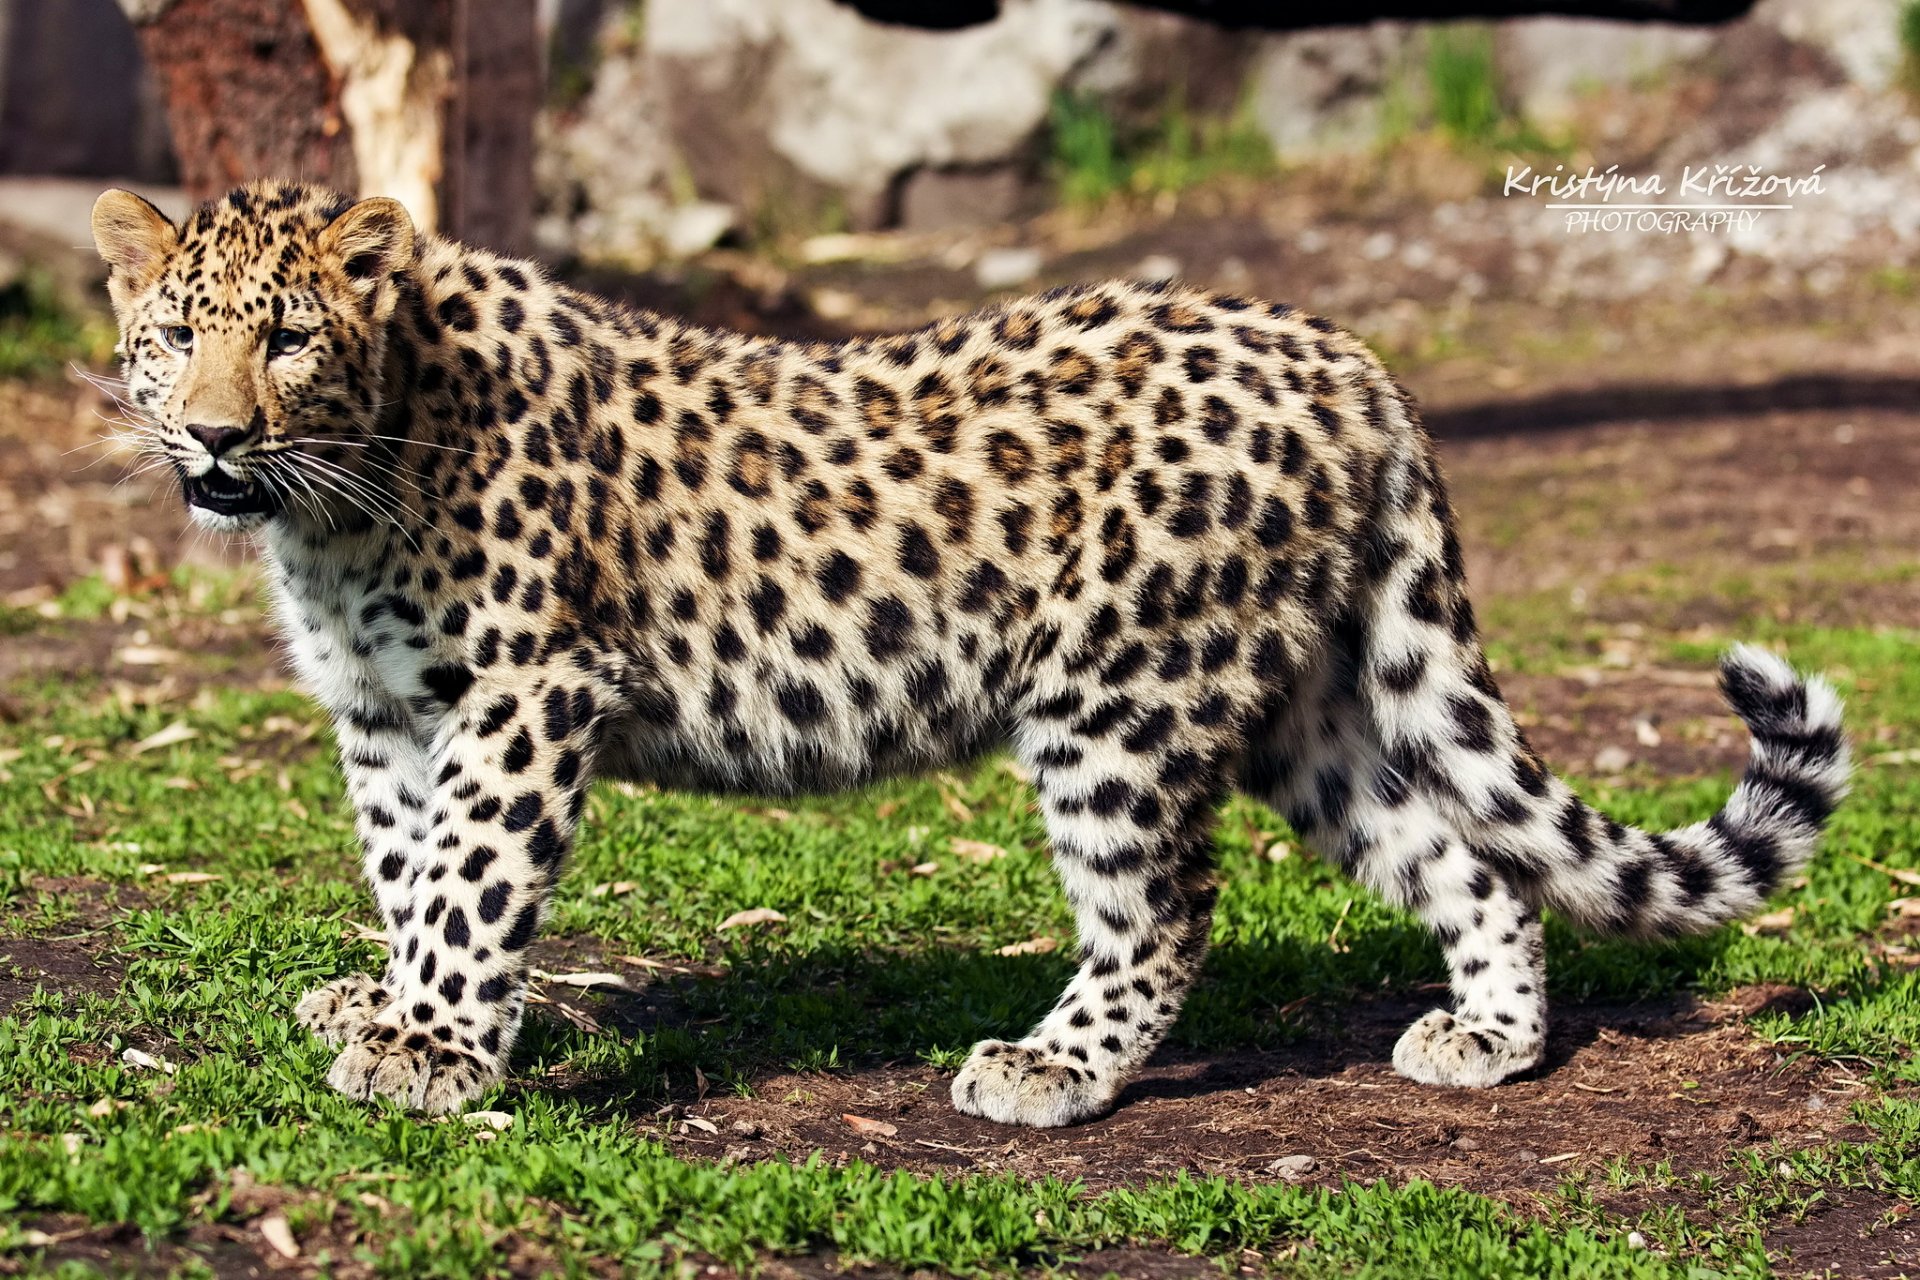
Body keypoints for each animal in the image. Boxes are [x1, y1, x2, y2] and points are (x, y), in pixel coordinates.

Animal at [90, 180, 1851, 1126]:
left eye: (289, 337)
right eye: (172, 336)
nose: (216, 435)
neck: (341, 501)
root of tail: (1344, 355)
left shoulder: (531, 687)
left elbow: (470, 875)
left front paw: (434, 1051)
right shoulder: (388, 714)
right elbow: (411, 865)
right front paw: (388, 1006)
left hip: (1120, 695)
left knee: (1167, 906)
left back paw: (1047, 1072)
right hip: (1310, 702)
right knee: (1458, 849)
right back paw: (1487, 1040)